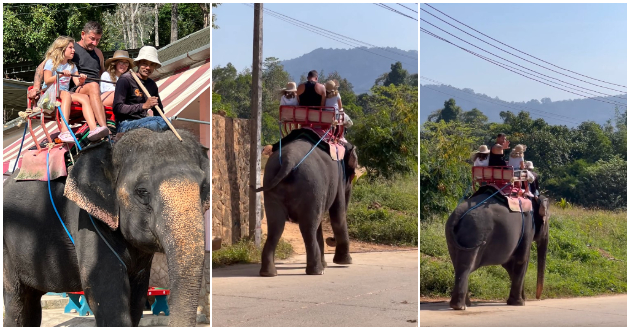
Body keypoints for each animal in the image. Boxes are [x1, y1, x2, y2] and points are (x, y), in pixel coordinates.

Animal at [3, 128, 210, 324]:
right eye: (142, 192)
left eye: (203, 188)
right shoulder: (87, 222)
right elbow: (108, 298)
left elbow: (136, 300)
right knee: (16, 302)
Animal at [254, 138, 358, 278]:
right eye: (352, 172)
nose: (330, 240)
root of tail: (289, 159)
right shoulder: (338, 181)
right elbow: (338, 215)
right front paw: (345, 262)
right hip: (312, 185)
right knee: (308, 227)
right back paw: (317, 271)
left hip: (271, 185)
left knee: (276, 226)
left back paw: (268, 273)